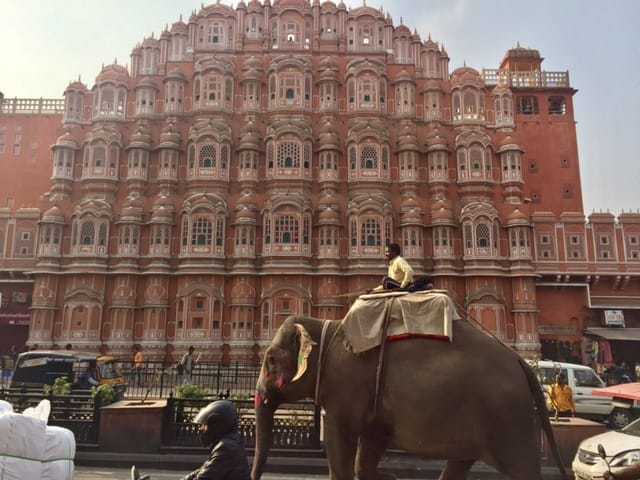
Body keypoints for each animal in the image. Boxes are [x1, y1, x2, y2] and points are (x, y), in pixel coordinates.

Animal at [250, 316, 564, 480]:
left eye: (271, 360)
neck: (326, 328)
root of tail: (521, 363)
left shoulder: (345, 389)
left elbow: (341, 458)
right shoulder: (373, 412)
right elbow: (365, 459)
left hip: (509, 418)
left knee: (523, 469)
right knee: (458, 464)